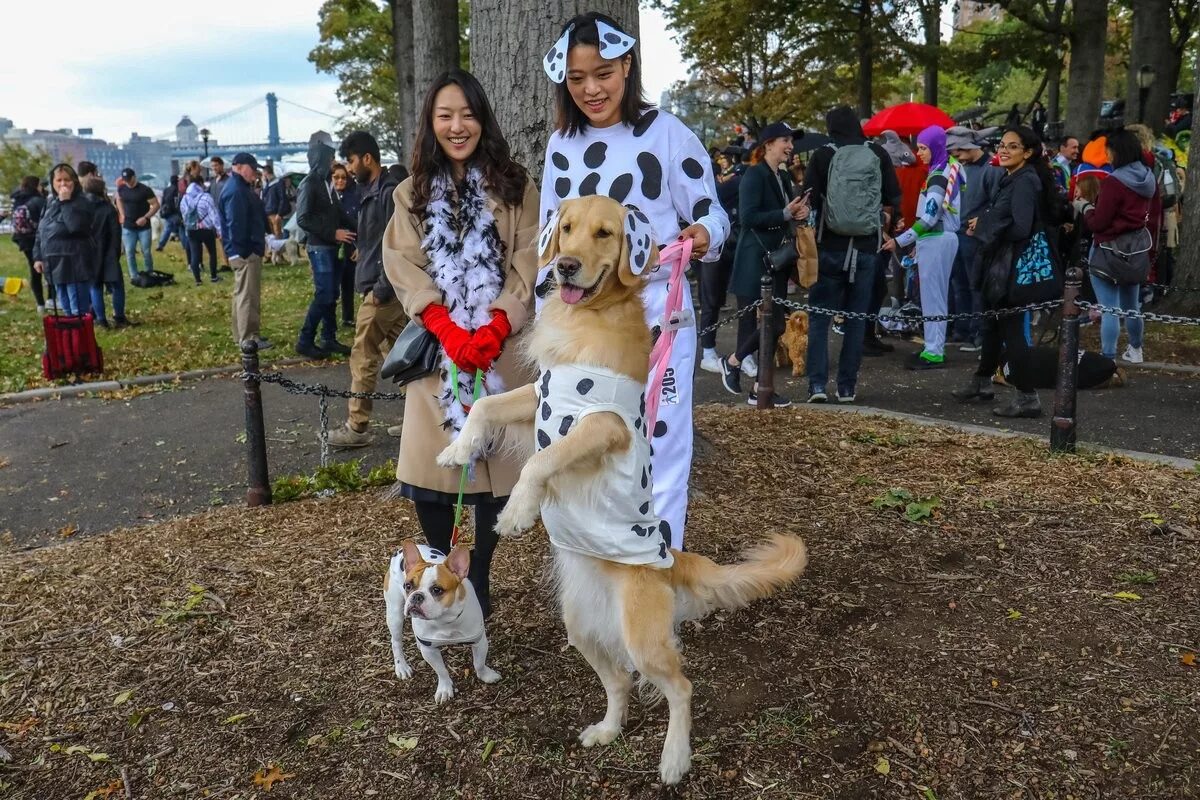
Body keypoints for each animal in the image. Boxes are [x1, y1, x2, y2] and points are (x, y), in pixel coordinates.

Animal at [436, 196, 811, 786]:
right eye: (566, 229)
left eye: (604, 234)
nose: (565, 266)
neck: (588, 317)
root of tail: (671, 557)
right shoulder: (540, 394)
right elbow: (486, 407)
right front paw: (458, 451)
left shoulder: (602, 425)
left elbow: (541, 459)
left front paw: (518, 510)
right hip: (582, 628)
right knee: (619, 681)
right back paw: (608, 730)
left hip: (643, 636)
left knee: (680, 687)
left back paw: (675, 759)